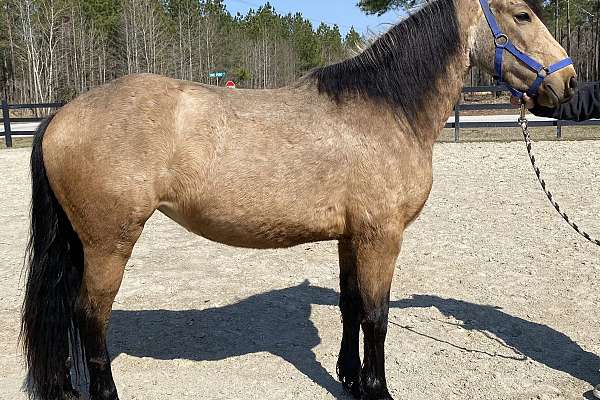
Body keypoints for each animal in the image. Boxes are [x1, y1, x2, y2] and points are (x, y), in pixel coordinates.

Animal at [22, 0, 576, 398]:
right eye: (522, 14)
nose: (568, 82)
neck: (386, 109)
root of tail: (61, 114)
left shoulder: (353, 238)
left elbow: (351, 306)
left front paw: (349, 378)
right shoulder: (382, 238)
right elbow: (377, 317)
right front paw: (377, 390)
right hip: (109, 243)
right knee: (90, 316)